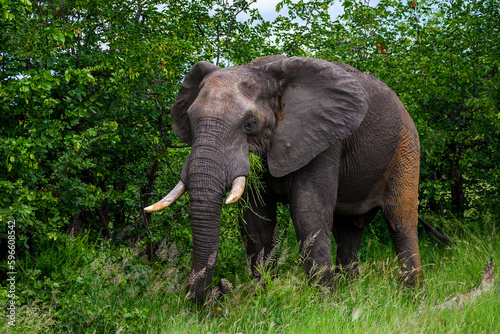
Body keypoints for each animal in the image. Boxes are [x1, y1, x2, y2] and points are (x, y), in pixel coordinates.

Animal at [144, 55, 422, 302]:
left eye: (250, 124)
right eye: (190, 121)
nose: (216, 293)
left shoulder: (322, 141)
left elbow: (308, 214)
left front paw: (323, 306)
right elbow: (255, 222)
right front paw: (263, 296)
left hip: (406, 149)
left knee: (400, 221)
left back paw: (410, 297)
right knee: (349, 230)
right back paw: (350, 292)